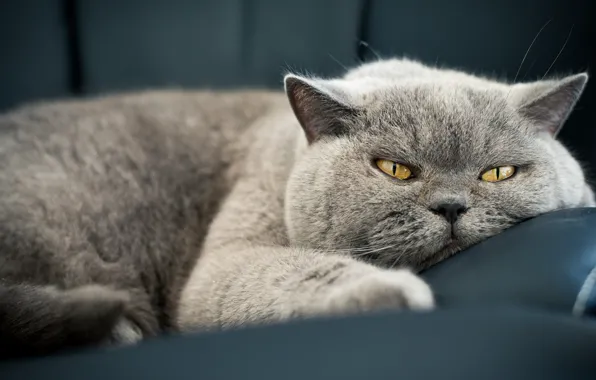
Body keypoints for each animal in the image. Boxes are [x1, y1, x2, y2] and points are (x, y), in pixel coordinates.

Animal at [0, 58, 592, 358]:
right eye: (394, 169)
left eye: (497, 173)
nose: (451, 206)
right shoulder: (229, 257)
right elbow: (298, 271)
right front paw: (391, 292)